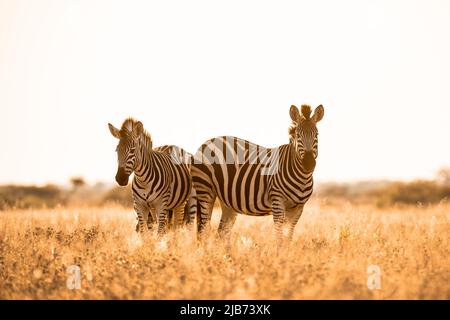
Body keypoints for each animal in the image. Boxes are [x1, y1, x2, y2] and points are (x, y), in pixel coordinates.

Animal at [192, 104, 326, 244]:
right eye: (298, 135)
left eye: (316, 135)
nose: (308, 163)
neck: (302, 177)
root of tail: (207, 142)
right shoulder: (277, 200)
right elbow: (279, 237)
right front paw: (280, 250)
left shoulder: (299, 208)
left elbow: (288, 237)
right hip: (205, 189)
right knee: (203, 229)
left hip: (226, 200)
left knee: (222, 231)